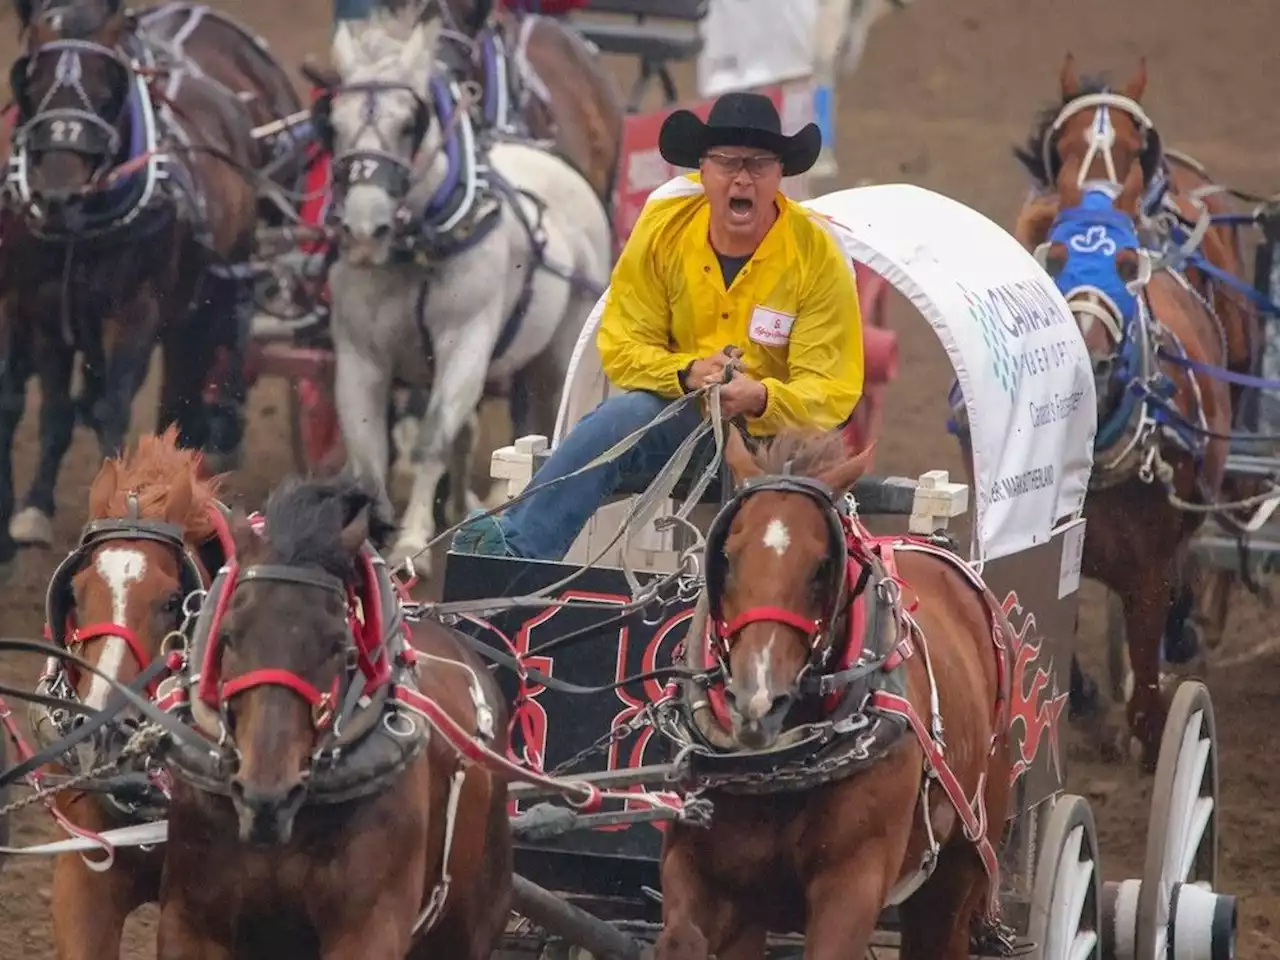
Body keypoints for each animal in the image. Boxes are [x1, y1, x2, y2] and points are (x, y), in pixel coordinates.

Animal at [317, 9, 611, 570]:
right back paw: (458, 507)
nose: (363, 230)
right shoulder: (360, 355)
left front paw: (412, 540)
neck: (420, 245)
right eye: (333, 124)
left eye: (410, 123)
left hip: (557, 351)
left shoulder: (465, 341)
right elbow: (369, 453)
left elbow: (432, 439)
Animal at [655, 427, 1013, 960]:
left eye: (822, 566)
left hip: (960, 868)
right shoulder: (706, 869)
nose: (756, 702)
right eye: (727, 557)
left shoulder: (853, 885)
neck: (780, 765)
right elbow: (681, 937)